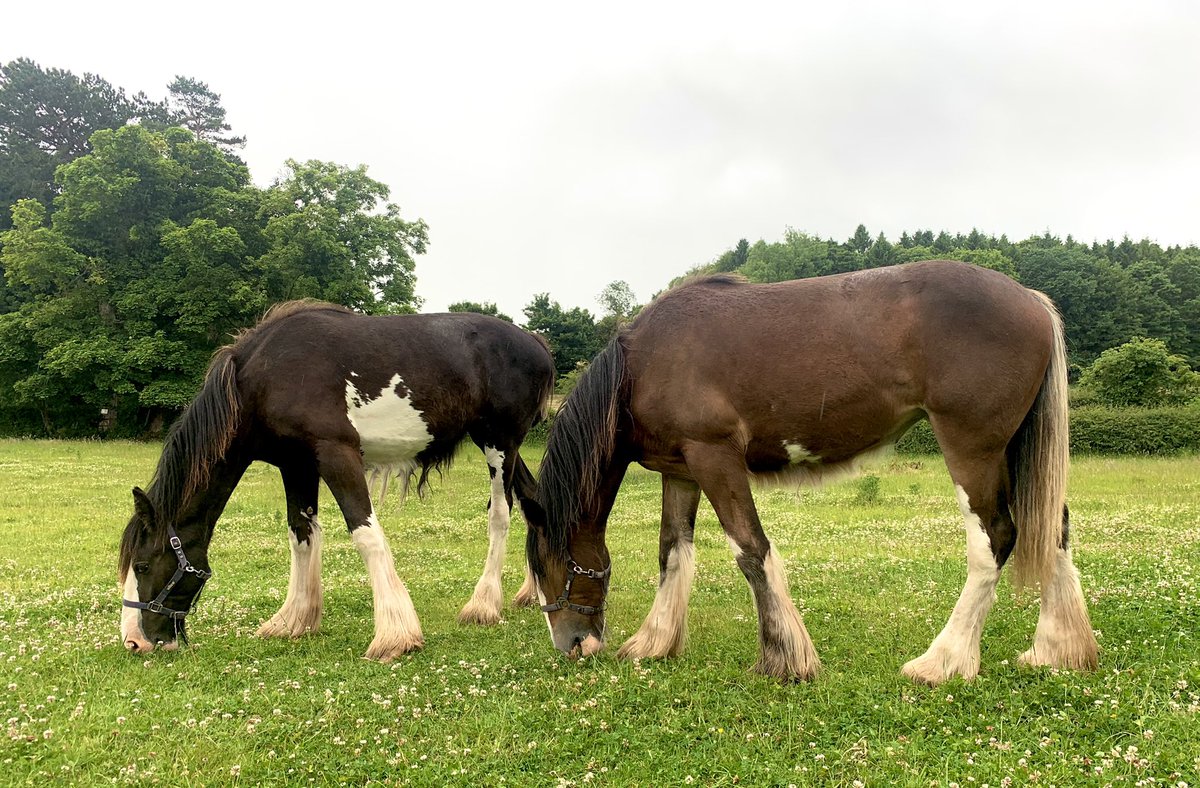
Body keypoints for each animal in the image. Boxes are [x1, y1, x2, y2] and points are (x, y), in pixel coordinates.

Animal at [119, 301, 555, 661]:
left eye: (141, 565)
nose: (134, 641)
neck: (263, 377)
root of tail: (534, 341)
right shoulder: (296, 465)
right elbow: (301, 535)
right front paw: (294, 620)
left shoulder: (336, 455)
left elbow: (366, 534)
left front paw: (395, 635)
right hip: (506, 449)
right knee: (532, 501)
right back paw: (531, 590)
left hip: (498, 444)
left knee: (501, 515)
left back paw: (483, 605)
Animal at [523, 260, 1099, 684]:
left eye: (548, 563)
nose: (572, 645)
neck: (642, 364)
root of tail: (1030, 299)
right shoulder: (680, 471)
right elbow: (672, 552)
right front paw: (653, 643)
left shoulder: (715, 458)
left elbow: (750, 551)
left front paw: (784, 658)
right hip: (1012, 452)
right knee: (1053, 528)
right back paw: (1056, 650)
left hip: (972, 449)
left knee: (995, 539)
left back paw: (944, 661)